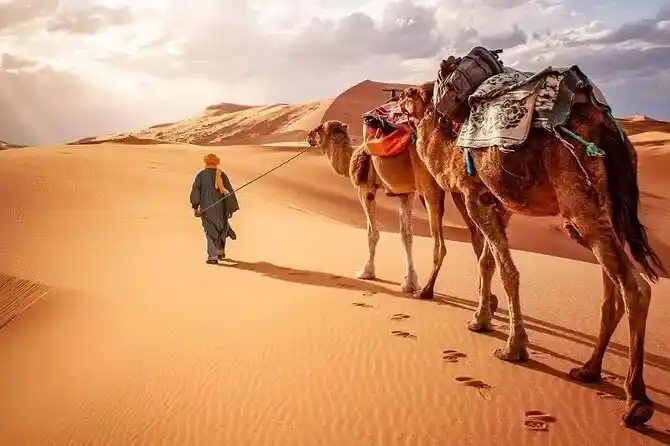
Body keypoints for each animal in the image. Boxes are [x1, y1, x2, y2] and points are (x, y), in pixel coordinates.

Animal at [306, 120, 498, 310]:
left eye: (318, 129)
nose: (308, 136)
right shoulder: (405, 194)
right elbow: (406, 235)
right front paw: (409, 282)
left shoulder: (366, 189)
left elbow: (372, 233)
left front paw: (366, 271)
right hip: (460, 190)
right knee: (477, 237)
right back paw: (488, 297)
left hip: (431, 189)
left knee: (442, 245)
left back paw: (427, 291)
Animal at [397, 80, 666, 427]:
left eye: (410, 95)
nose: (394, 99)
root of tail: (606, 128)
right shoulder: (499, 204)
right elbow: (487, 261)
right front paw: (482, 319)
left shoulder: (475, 196)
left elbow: (506, 270)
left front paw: (512, 346)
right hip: (603, 211)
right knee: (612, 291)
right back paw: (589, 370)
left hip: (580, 202)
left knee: (635, 288)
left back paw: (636, 401)